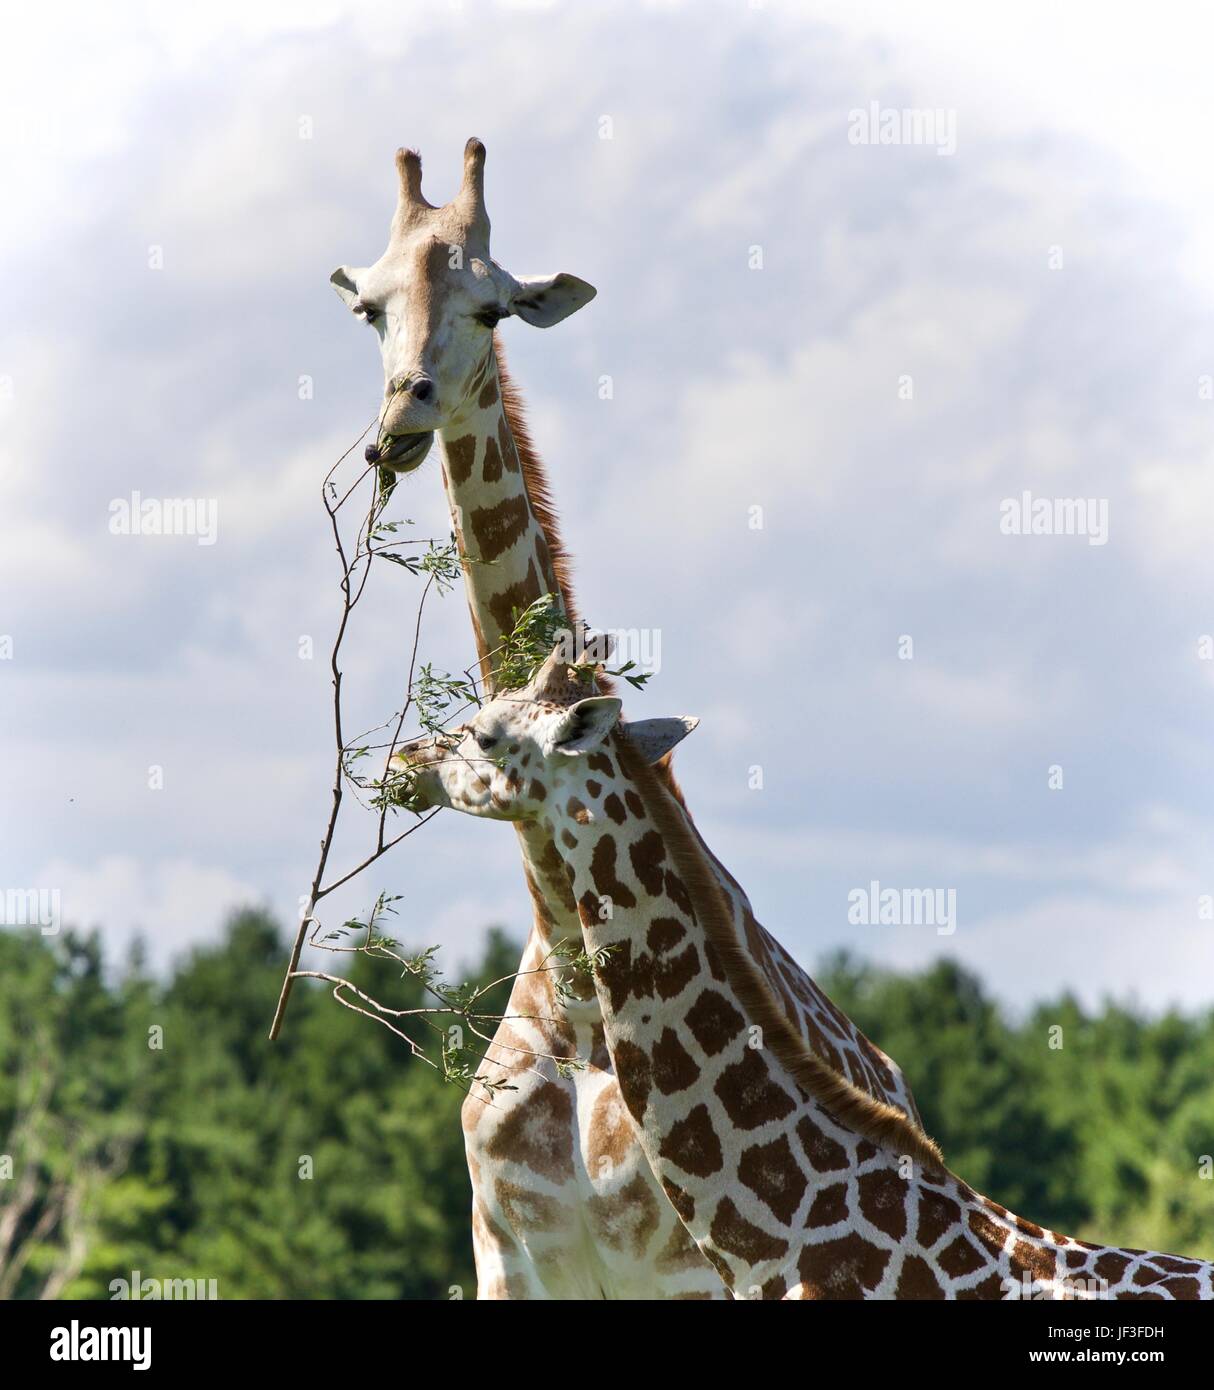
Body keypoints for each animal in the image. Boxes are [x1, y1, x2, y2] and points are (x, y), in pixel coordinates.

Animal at [329, 135, 917, 1295]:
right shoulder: (507, 1250)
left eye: (495, 307)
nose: (401, 422)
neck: (570, 977)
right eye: (371, 307)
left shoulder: (692, 1262)